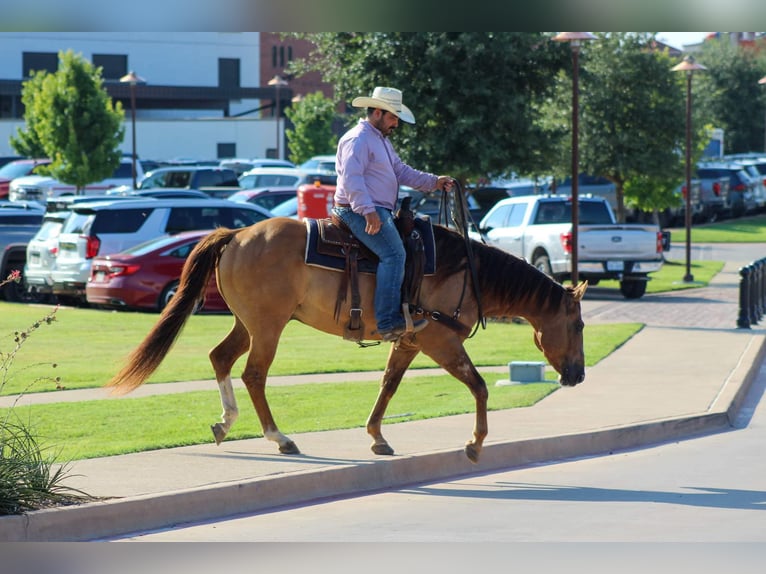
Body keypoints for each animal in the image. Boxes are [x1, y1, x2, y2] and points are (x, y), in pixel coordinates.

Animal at [108, 218, 588, 466]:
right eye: (580, 326)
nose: (579, 375)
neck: (465, 273)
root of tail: (237, 236)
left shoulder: (409, 341)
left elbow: (388, 385)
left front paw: (377, 437)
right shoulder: (440, 340)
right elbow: (479, 385)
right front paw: (474, 443)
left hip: (247, 323)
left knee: (221, 358)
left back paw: (225, 423)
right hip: (268, 326)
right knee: (254, 374)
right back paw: (280, 438)